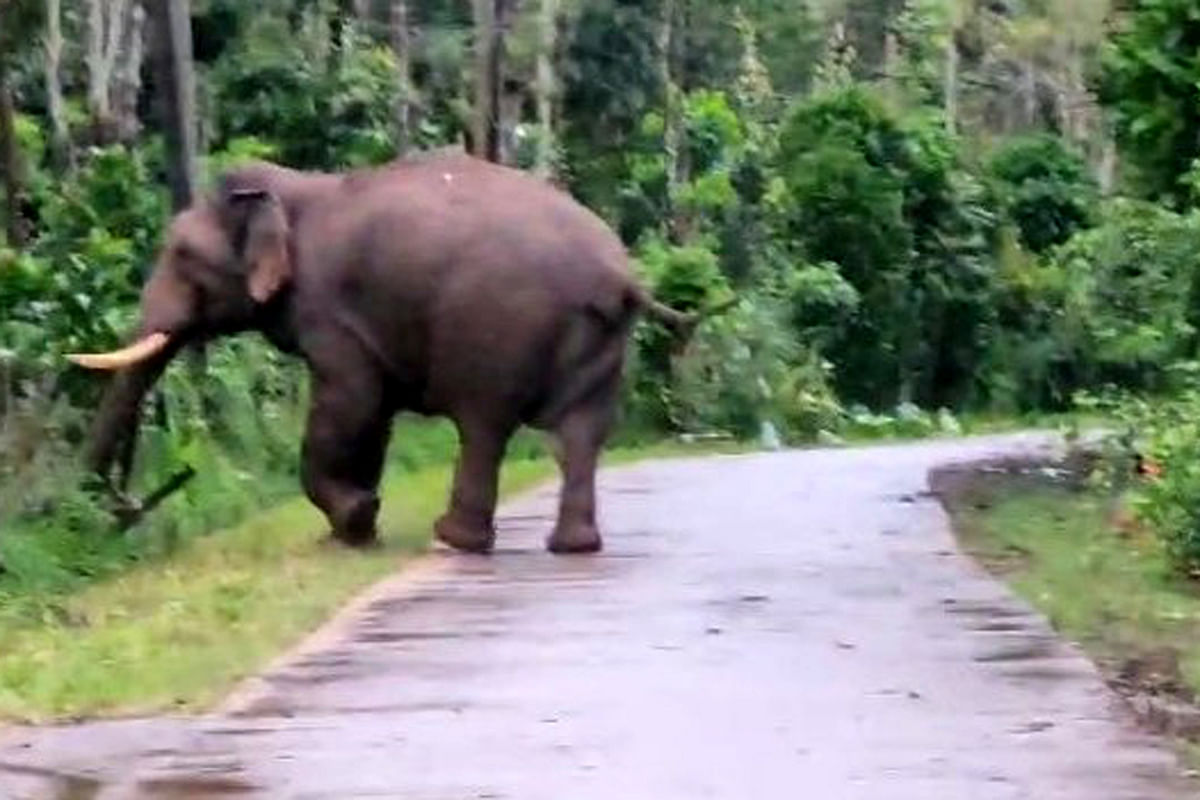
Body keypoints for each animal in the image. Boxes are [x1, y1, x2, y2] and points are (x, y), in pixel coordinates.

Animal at [68, 148, 696, 556]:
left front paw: (355, 522)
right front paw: (358, 525)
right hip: (602, 344)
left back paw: (455, 540)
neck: (295, 188)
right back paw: (573, 546)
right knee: (583, 433)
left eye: (179, 254)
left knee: (485, 424)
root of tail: (620, 276)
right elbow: (374, 419)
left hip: (499, 327)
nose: (126, 507)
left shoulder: (331, 312)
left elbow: (351, 404)